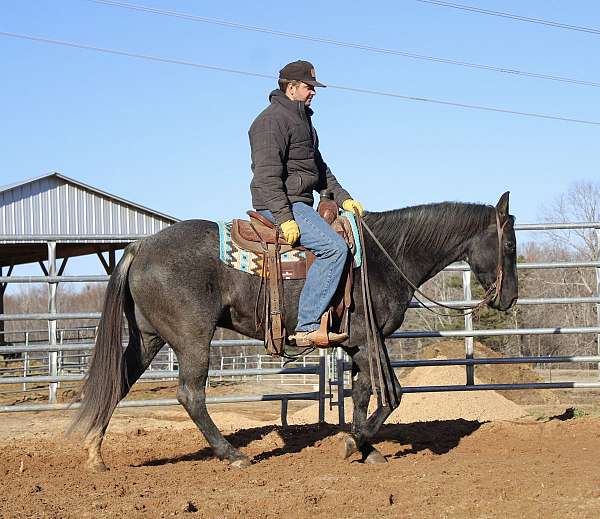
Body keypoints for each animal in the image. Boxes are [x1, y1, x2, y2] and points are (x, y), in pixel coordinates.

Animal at [71, 192, 516, 472]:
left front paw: (366, 447)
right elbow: (392, 395)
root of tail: (140, 246)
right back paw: (232, 455)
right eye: (509, 245)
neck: (383, 257)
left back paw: (94, 454)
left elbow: (364, 393)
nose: (509, 298)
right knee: (190, 395)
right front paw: (354, 442)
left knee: (118, 382)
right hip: (192, 338)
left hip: (149, 338)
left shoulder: (361, 345)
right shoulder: (368, 342)